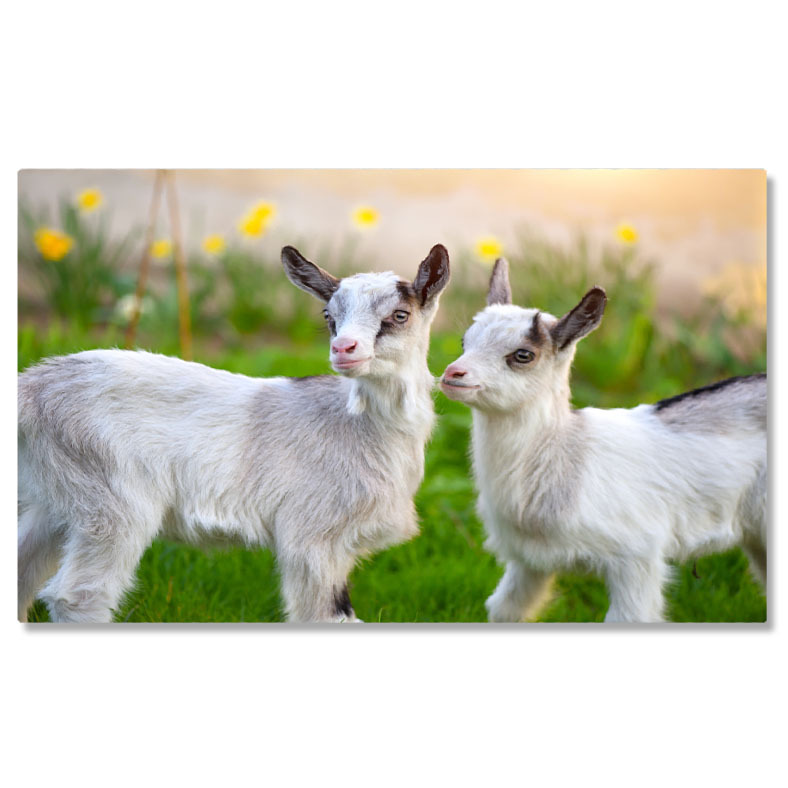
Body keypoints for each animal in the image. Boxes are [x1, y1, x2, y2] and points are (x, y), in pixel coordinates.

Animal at [18, 244, 450, 623]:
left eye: (400, 315)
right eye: (329, 315)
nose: (344, 348)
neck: (358, 426)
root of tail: (31, 387)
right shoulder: (312, 537)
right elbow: (324, 616)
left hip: (56, 498)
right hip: (112, 500)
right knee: (77, 595)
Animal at [440, 258, 766, 623]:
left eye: (523, 355)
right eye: (465, 340)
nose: (452, 374)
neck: (568, 459)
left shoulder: (637, 557)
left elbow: (631, 617)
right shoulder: (529, 562)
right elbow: (505, 609)